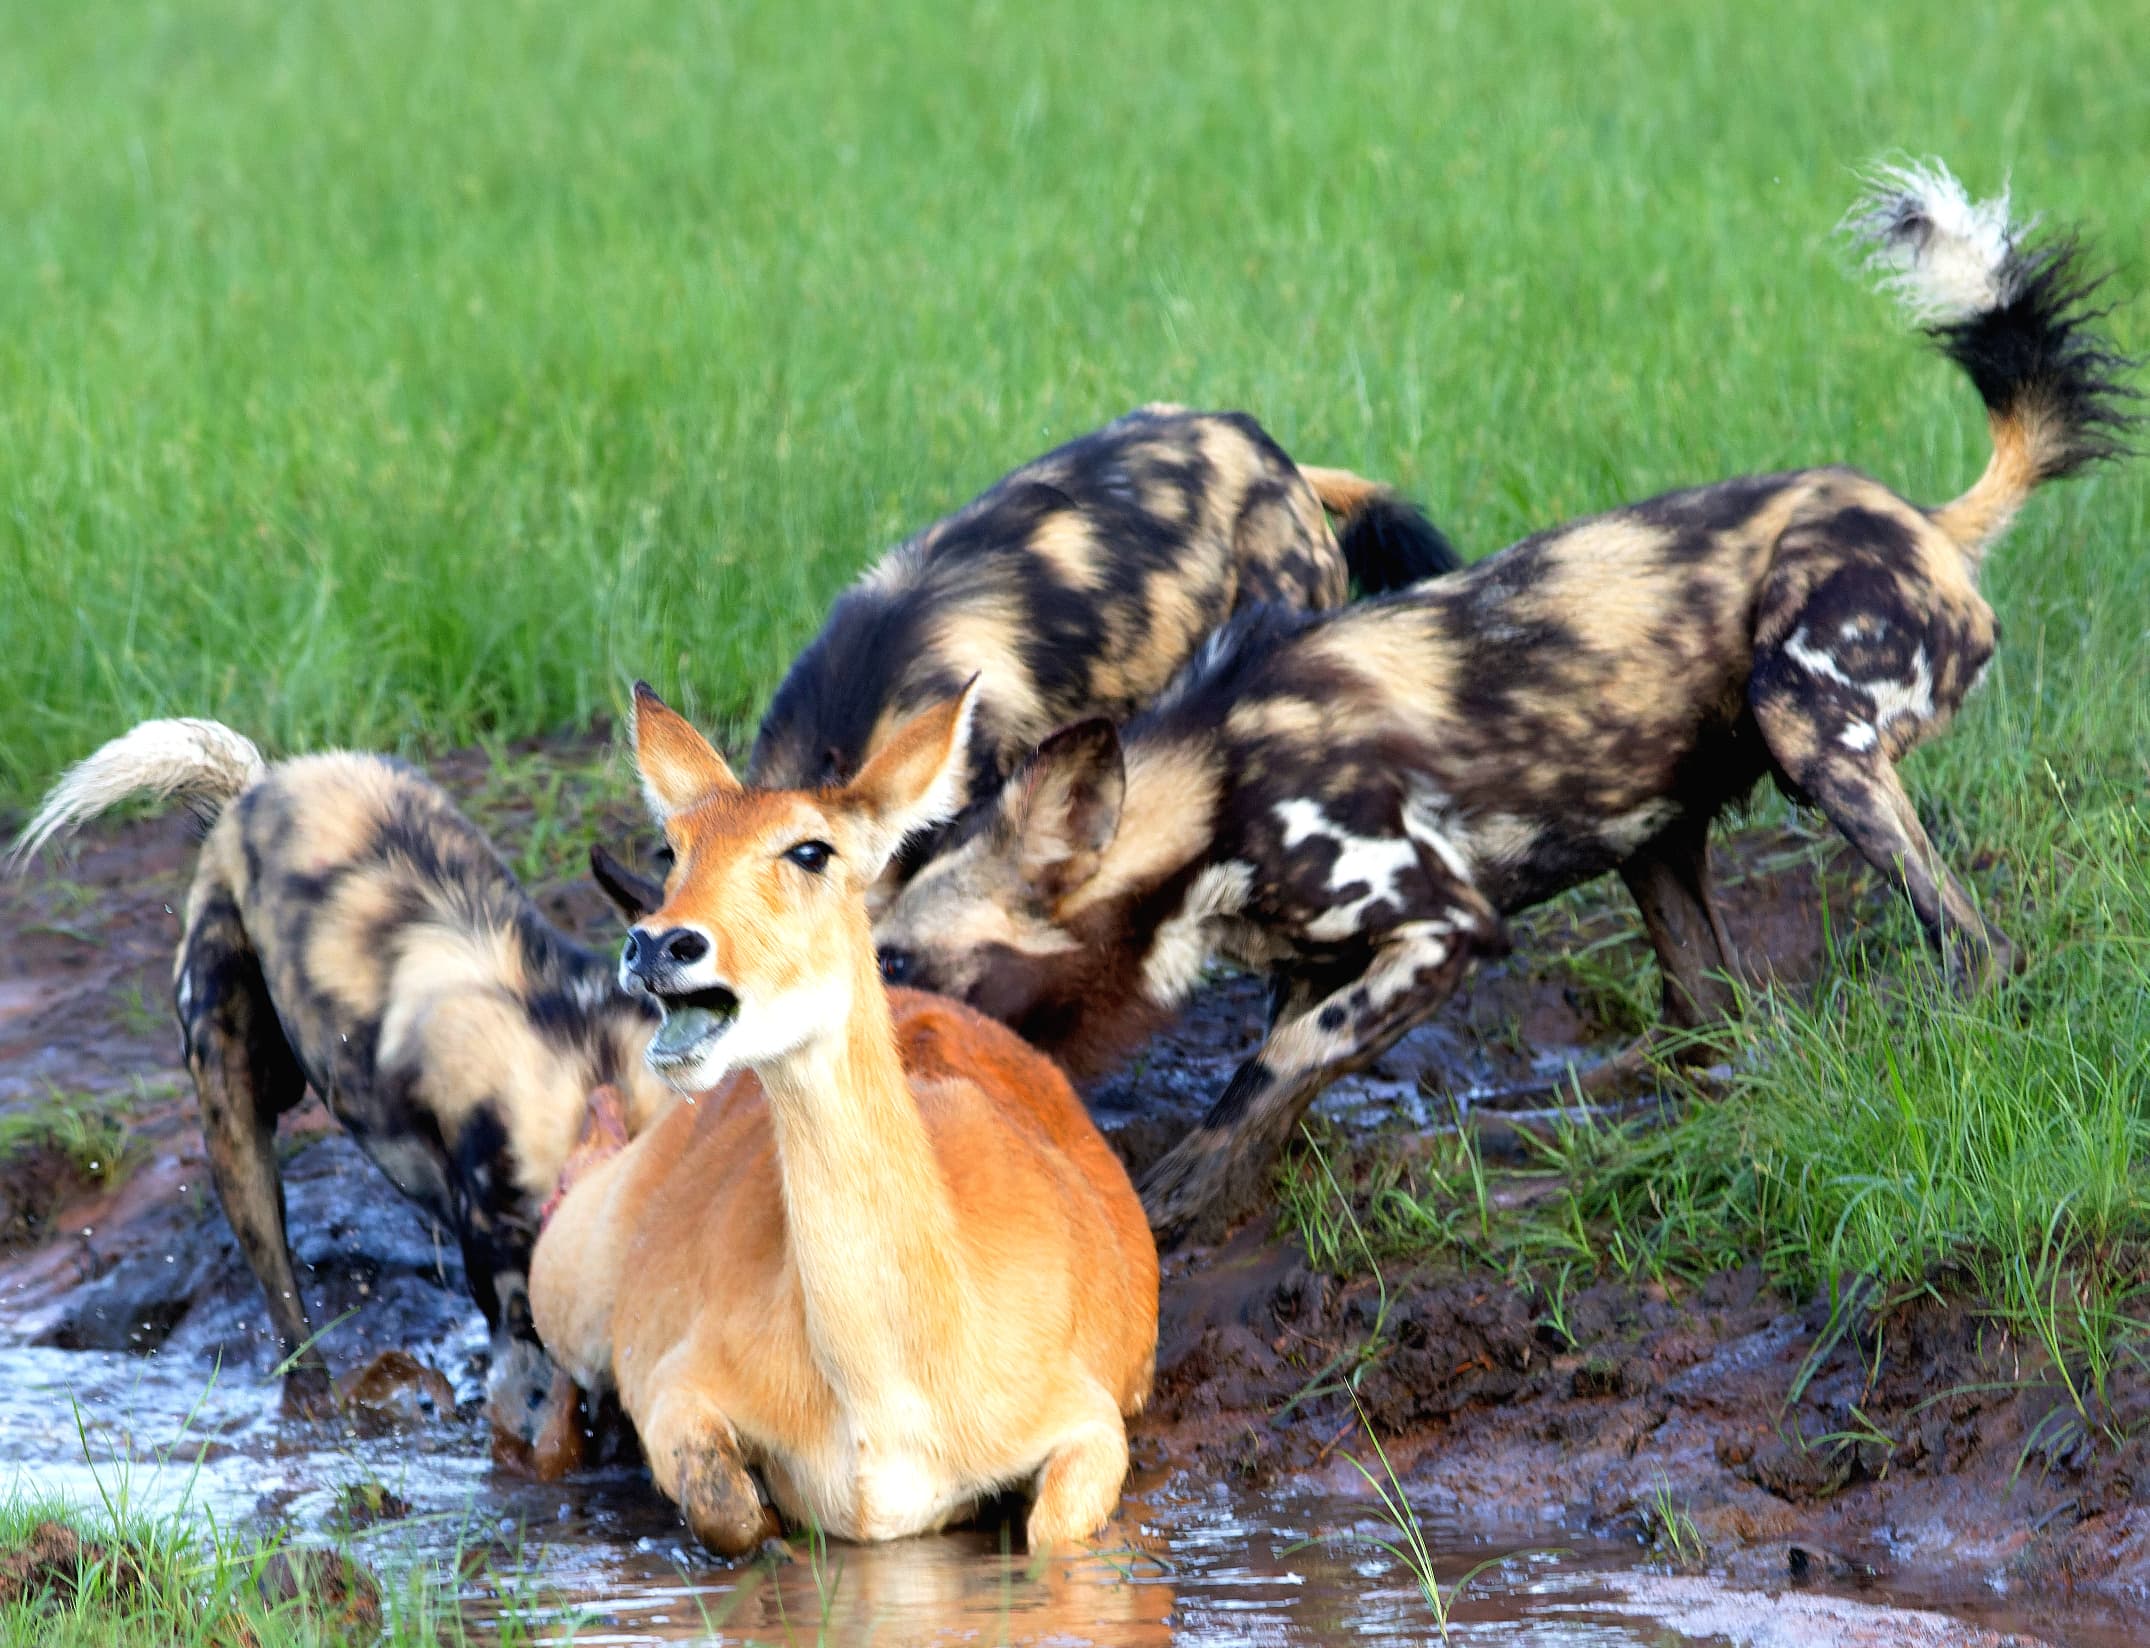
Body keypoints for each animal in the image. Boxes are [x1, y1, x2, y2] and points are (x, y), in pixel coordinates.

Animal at [530, 682, 1159, 1555]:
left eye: (810, 850)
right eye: (674, 846)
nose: (658, 944)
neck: (884, 1388)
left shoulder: (1094, 1422)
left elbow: (1052, 1534)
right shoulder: (675, 1389)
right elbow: (730, 1511)